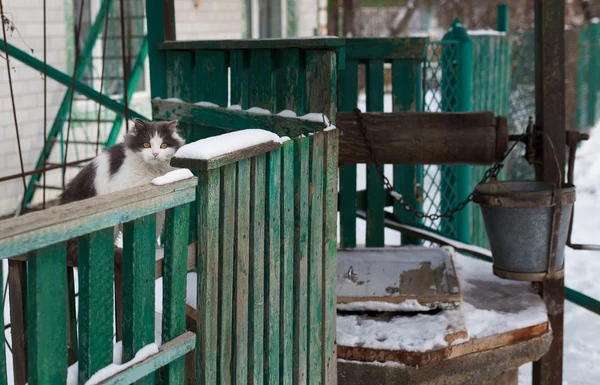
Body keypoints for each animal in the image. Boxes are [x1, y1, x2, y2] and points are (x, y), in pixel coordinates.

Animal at [60, 118, 185, 264]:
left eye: (163, 145)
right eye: (146, 144)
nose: (155, 154)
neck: (152, 172)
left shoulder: (159, 212)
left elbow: (154, 232)